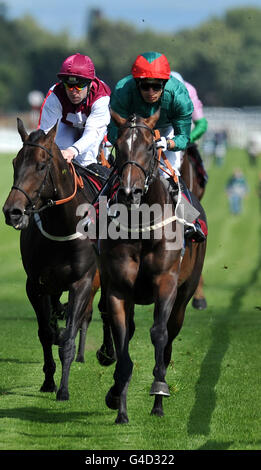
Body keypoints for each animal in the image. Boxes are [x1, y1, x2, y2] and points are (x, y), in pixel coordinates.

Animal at [2, 120, 111, 400]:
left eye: (41, 165)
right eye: (15, 162)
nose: (12, 211)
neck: (63, 225)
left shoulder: (82, 283)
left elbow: (69, 336)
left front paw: (63, 389)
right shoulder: (36, 284)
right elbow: (45, 332)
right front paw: (48, 380)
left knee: (105, 308)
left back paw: (108, 353)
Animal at [96, 109, 206, 422]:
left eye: (149, 147)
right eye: (119, 147)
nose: (129, 192)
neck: (142, 227)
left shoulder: (166, 283)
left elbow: (159, 332)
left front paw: (158, 388)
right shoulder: (119, 289)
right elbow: (122, 336)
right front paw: (119, 405)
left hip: (184, 295)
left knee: (169, 336)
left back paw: (158, 402)